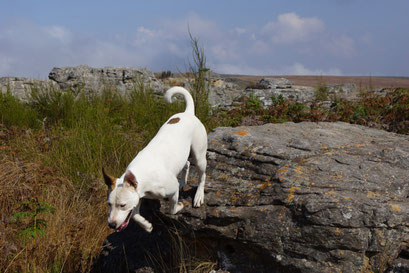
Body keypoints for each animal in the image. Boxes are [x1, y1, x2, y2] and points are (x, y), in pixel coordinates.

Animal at [102, 86, 207, 232]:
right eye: (109, 204)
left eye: (122, 205)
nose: (111, 225)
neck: (143, 177)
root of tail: (188, 113)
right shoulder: (138, 197)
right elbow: (134, 215)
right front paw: (146, 226)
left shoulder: (172, 191)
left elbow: (172, 209)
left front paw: (179, 206)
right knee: (186, 164)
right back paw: (183, 182)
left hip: (199, 156)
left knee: (202, 176)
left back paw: (198, 196)